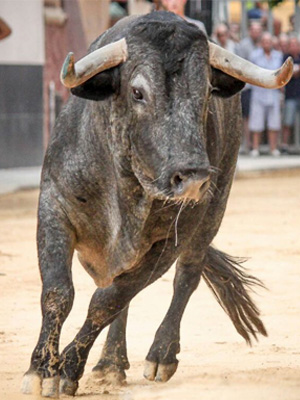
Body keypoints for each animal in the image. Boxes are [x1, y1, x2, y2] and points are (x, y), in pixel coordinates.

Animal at [21, 10, 292, 398]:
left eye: (206, 92)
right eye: (137, 92)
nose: (193, 177)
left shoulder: (169, 242)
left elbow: (108, 300)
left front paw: (68, 369)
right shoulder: (54, 207)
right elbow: (59, 292)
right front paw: (41, 369)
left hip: (212, 213)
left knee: (185, 278)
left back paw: (160, 355)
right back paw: (110, 364)